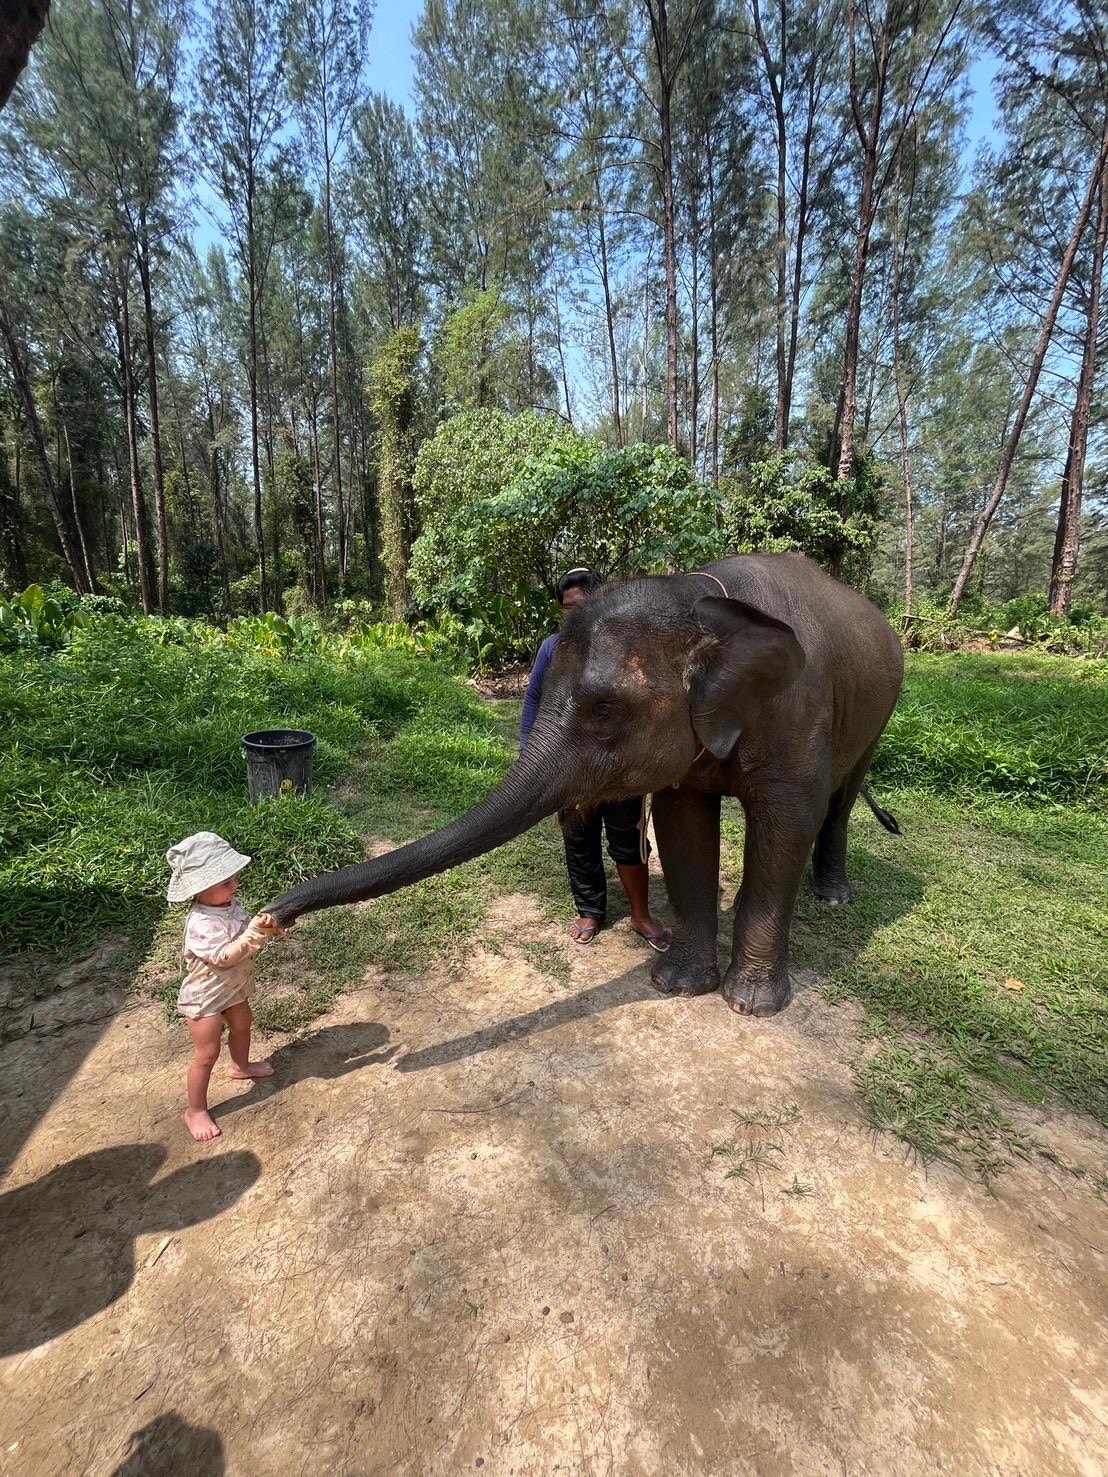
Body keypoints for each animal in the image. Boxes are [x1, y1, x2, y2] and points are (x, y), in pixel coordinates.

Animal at [267, 554, 904, 1017]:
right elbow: (681, 827)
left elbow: (785, 827)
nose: (273, 917)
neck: (701, 599)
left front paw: (749, 1005)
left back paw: (833, 896)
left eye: (603, 709)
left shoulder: (796, 714)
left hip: (881, 707)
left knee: (841, 798)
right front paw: (676, 985)